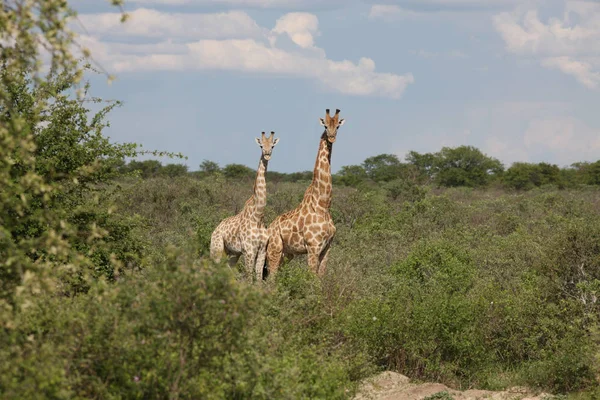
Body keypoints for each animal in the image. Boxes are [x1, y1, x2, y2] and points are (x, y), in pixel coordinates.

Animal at [210, 132, 280, 282]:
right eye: (261, 146)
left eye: (272, 146)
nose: (267, 154)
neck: (258, 215)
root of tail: (216, 229)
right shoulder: (249, 250)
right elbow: (249, 277)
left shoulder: (262, 250)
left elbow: (258, 278)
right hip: (216, 249)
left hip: (232, 253)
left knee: (228, 269)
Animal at [264, 109, 344, 278]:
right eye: (325, 125)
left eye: (338, 126)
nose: (332, 137)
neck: (323, 205)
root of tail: (268, 229)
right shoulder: (313, 246)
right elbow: (312, 277)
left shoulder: (327, 247)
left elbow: (321, 277)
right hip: (274, 250)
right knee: (271, 277)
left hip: (287, 254)